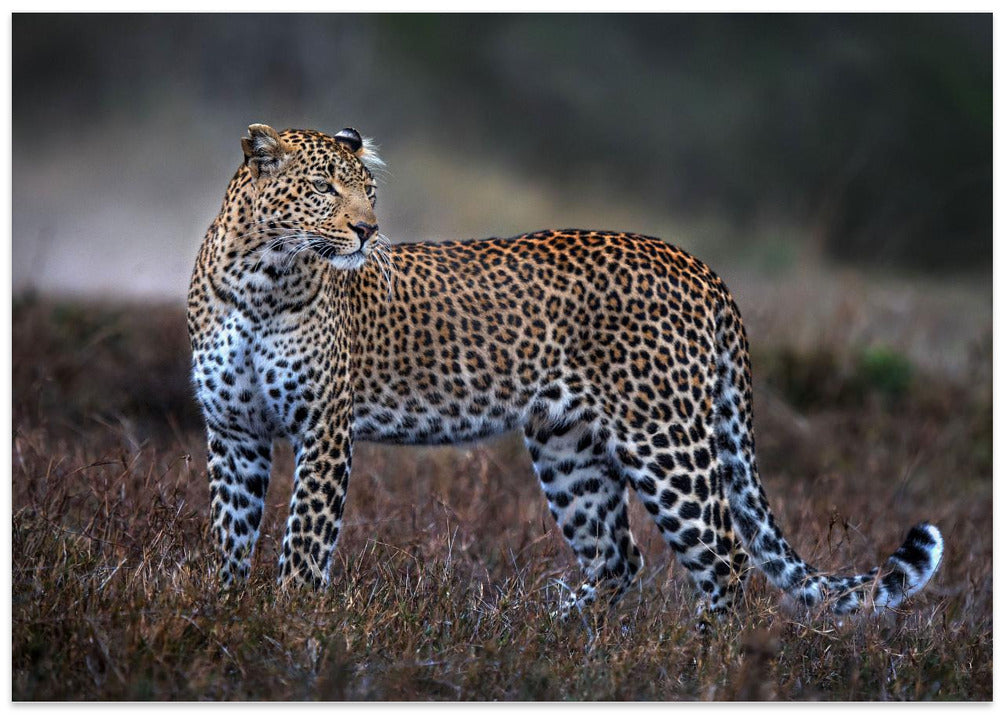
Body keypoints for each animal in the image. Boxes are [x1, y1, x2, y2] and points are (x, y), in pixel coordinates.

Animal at [187, 123, 944, 617]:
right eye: (323, 187)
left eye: (368, 190)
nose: (368, 231)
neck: (263, 278)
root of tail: (697, 264)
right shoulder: (233, 430)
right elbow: (232, 529)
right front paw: (226, 613)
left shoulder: (323, 426)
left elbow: (304, 540)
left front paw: (291, 623)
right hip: (568, 446)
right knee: (619, 558)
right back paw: (561, 633)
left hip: (665, 438)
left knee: (725, 556)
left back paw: (705, 664)